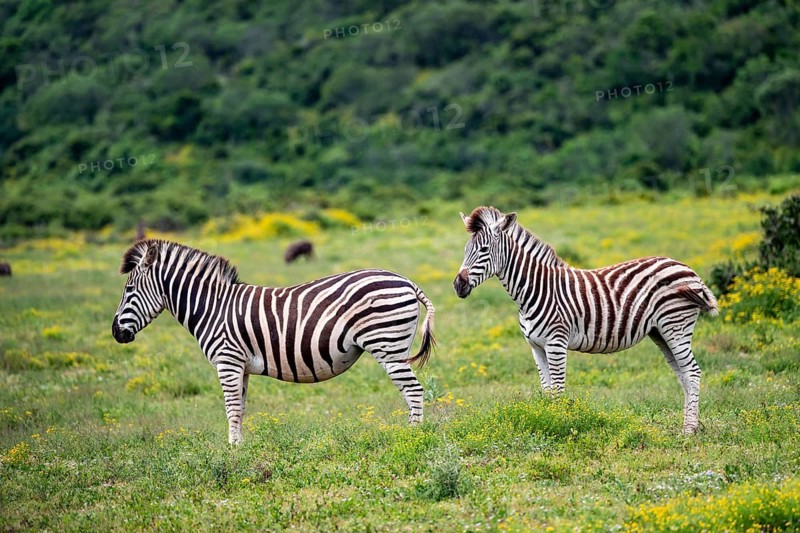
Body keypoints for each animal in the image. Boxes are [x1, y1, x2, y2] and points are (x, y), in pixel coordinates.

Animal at [112, 239, 435, 444]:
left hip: (388, 346)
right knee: (413, 391)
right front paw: (240, 447)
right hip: (396, 347)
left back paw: (411, 438)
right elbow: (240, 408)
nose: (116, 333)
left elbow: (231, 407)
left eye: (129, 290)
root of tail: (407, 281)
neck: (213, 307)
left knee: (414, 391)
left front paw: (231, 450)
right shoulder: (240, 367)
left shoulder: (227, 361)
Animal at [452, 207, 718, 434]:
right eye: (465, 251)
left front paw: (558, 425)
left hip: (676, 325)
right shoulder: (536, 347)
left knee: (692, 371)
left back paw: (690, 430)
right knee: (683, 373)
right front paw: (548, 420)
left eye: (484, 250)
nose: (458, 285)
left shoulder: (556, 343)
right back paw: (687, 425)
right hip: (660, 332)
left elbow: (558, 389)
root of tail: (688, 269)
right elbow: (547, 390)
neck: (534, 290)